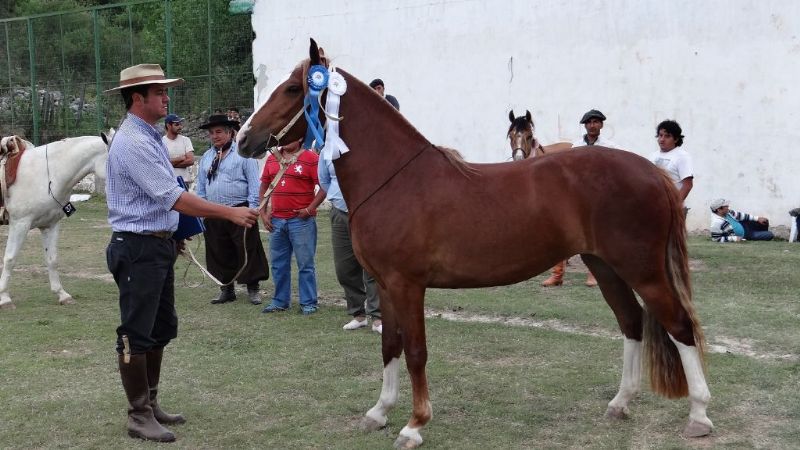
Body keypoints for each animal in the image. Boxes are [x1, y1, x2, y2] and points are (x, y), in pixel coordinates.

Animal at [0, 132, 113, 309]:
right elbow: (10, 258)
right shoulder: (20, 224)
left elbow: (52, 259)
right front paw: (4, 298)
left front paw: (62, 294)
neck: (48, 174)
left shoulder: (50, 225)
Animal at [237, 39, 712, 448]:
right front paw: (379, 412)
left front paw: (414, 425)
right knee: (631, 322)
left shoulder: (408, 285)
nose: (244, 139)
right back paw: (620, 403)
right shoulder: (386, 285)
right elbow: (390, 345)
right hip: (605, 266)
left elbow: (416, 351)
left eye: (294, 88)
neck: (395, 178)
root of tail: (653, 172)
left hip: (643, 270)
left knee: (679, 327)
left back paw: (699, 415)